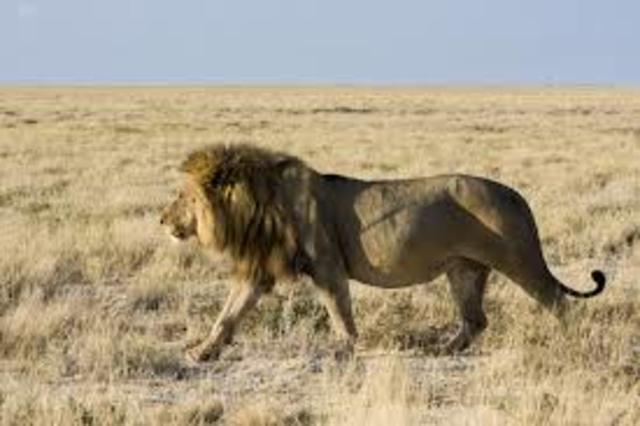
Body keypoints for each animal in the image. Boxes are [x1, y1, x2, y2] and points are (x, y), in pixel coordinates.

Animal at [160, 143, 606, 362]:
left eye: (183, 196)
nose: (162, 220)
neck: (255, 208)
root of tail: (517, 196)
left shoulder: (327, 265)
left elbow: (340, 313)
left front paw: (347, 351)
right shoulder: (258, 271)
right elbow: (227, 316)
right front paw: (202, 352)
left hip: (518, 260)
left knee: (559, 303)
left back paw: (574, 345)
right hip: (464, 269)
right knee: (476, 320)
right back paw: (440, 351)